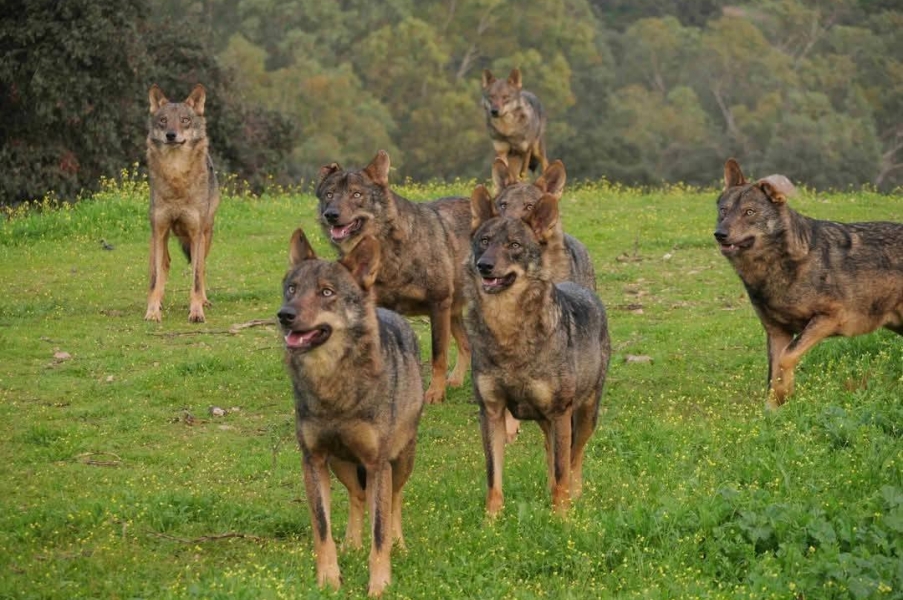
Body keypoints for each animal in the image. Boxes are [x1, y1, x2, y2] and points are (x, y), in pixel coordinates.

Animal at [145, 83, 220, 323]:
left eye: (185, 120)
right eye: (163, 120)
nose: (171, 135)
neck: (176, 175)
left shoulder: (196, 234)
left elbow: (195, 278)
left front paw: (196, 311)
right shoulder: (159, 230)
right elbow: (155, 277)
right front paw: (152, 311)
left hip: (206, 235)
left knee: (202, 268)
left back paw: (204, 300)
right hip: (156, 238)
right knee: (164, 264)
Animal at [277, 227, 424, 597]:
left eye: (326, 292)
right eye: (292, 289)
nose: (284, 314)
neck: (333, 388)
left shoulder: (377, 463)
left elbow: (380, 532)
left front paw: (380, 585)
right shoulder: (313, 460)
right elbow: (322, 529)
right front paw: (328, 580)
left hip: (400, 461)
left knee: (394, 500)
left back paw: (400, 545)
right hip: (341, 464)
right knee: (358, 497)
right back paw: (352, 545)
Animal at [316, 150, 472, 404]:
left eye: (356, 194)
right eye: (329, 194)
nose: (331, 215)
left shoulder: (438, 305)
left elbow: (438, 356)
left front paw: (435, 393)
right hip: (454, 311)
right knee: (467, 345)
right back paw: (456, 381)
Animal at [465, 188, 611, 516]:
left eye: (514, 245)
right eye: (484, 241)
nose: (484, 266)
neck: (509, 334)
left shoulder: (560, 412)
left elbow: (562, 470)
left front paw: (561, 519)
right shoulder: (491, 412)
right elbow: (493, 479)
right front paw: (490, 522)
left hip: (584, 415)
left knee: (574, 459)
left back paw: (575, 495)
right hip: (549, 422)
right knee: (552, 455)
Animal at [715, 158, 903, 408]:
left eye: (749, 212)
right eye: (724, 211)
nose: (719, 234)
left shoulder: (829, 318)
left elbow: (786, 359)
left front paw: (785, 396)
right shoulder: (777, 333)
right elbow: (774, 374)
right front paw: (774, 410)